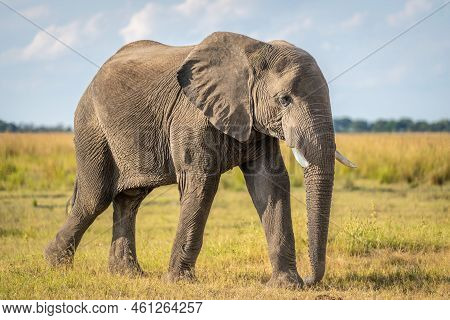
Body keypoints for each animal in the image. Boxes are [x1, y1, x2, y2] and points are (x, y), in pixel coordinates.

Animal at [44, 31, 356, 288]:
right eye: (284, 100)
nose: (311, 280)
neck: (254, 52)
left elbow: (270, 183)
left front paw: (286, 286)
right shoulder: (190, 117)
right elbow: (201, 184)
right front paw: (177, 282)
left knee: (129, 199)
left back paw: (127, 274)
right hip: (92, 126)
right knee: (94, 198)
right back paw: (54, 264)